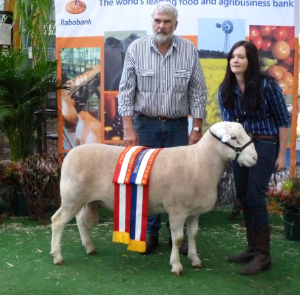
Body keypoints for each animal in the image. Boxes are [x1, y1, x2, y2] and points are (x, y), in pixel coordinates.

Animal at [50, 121, 256, 276]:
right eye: (234, 138)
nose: (255, 157)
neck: (199, 160)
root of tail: (70, 153)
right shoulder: (177, 209)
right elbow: (178, 238)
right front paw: (176, 266)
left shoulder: (193, 212)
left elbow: (193, 234)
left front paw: (195, 260)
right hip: (71, 196)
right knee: (58, 221)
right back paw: (57, 256)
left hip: (84, 199)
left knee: (80, 221)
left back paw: (89, 247)